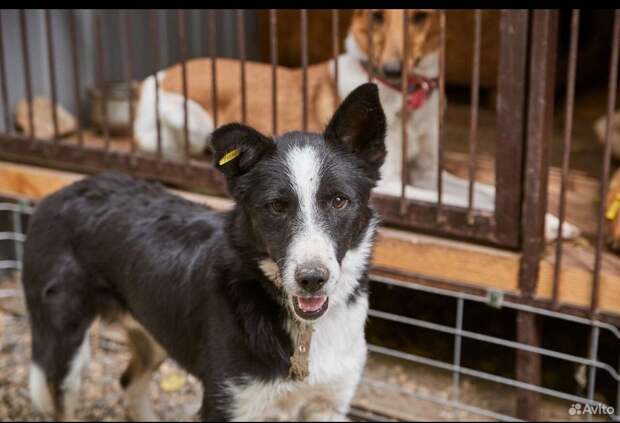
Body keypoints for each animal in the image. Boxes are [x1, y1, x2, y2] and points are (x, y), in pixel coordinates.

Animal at [21, 83, 388, 420]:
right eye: (276, 206)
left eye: (338, 201)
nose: (312, 279)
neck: (303, 332)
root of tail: (58, 194)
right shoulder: (228, 403)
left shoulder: (328, 405)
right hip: (64, 347)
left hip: (155, 328)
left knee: (130, 381)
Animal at [133, 9, 580, 242]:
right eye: (378, 17)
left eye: (420, 17)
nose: (392, 70)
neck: (407, 102)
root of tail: (154, 76)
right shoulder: (396, 184)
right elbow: (466, 204)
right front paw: (546, 226)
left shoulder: (428, 175)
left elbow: (479, 196)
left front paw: (550, 221)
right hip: (191, 117)